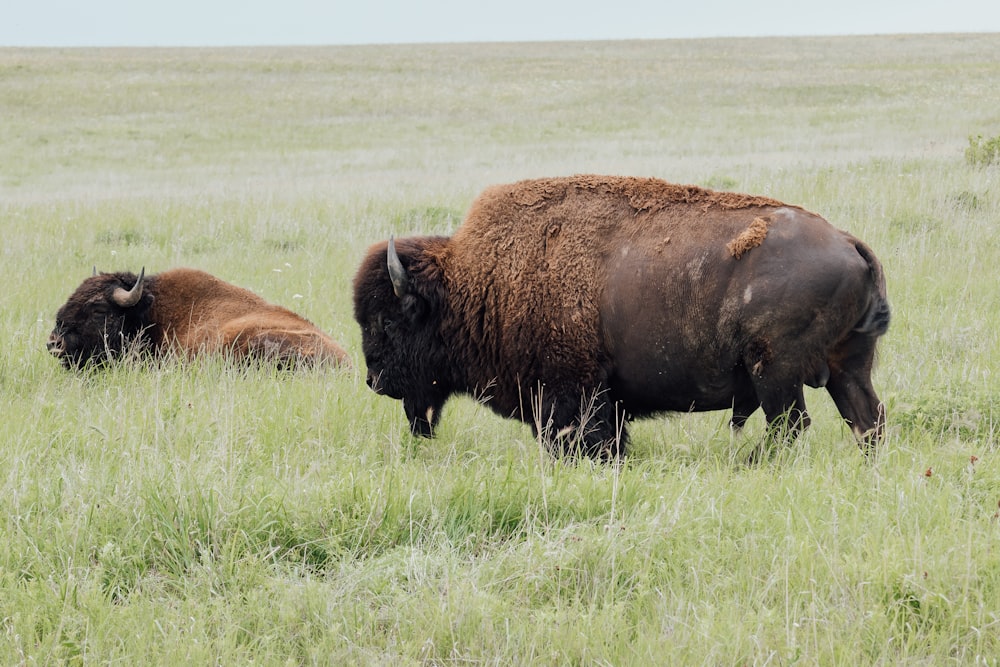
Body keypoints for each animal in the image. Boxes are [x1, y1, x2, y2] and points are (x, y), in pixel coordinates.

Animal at [354, 175, 892, 460]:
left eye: (388, 322)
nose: (374, 379)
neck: (475, 281)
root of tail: (849, 242)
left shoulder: (572, 397)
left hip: (775, 373)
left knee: (791, 425)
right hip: (846, 368)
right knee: (867, 418)